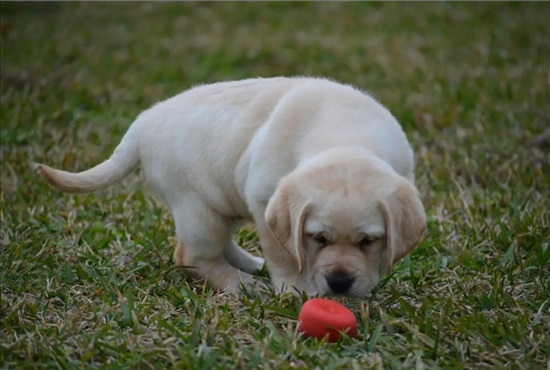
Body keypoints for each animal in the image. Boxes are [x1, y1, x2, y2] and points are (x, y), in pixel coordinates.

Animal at [36, 76, 430, 296]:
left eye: (368, 241)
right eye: (318, 238)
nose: (339, 282)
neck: (345, 135)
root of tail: (142, 122)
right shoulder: (265, 201)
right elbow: (285, 255)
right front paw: (297, 291)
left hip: (220, 203)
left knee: (220, 244)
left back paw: (250, 267)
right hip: (197, 206)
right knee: (193, 257)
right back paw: (245, 285)